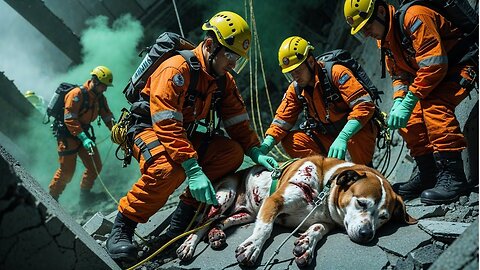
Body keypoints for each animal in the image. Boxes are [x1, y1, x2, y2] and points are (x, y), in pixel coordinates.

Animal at [176, 155, 416, 266]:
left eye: (383, 218)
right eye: (362, 203)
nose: (367, 234)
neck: (324, 186)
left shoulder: (325, 221)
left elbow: (318, 229)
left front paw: (306, 244)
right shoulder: (273, 201)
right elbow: (264, 229)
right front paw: (253, 247)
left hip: (245, 214)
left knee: (220, 222)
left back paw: (216, 234)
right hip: (223, 198)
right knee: (201, 225)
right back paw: (188, 245)